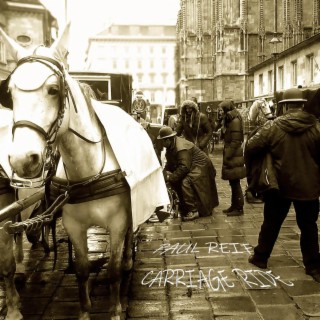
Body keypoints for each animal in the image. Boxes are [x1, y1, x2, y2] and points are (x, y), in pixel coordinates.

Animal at [0, 23, 169, 320]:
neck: (88, 169)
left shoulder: (117, 222)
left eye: (53, 89)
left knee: (129, 237)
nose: (22, 159)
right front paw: (85, 311)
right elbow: (81, 270)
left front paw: (116, 310)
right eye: (10, 92)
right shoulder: (74, 225)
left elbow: (113, 270)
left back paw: (129, 260)